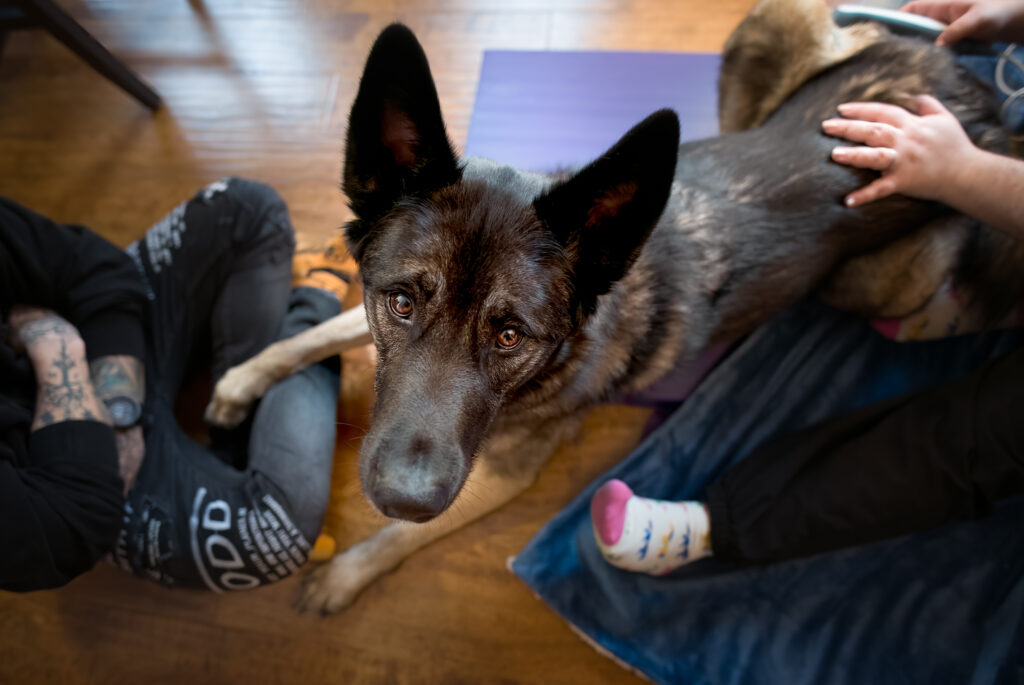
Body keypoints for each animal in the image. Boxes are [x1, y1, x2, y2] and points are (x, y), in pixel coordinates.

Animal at [205, 0, 1024, 614]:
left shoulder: (501, 473)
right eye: (401, 301)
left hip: (887, 276)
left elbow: (404, 537)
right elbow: (315, 338)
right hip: (774, 33)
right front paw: (242, 380)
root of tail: (972, 82)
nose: (403, 496)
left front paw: (346, 574)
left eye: (511, 335)